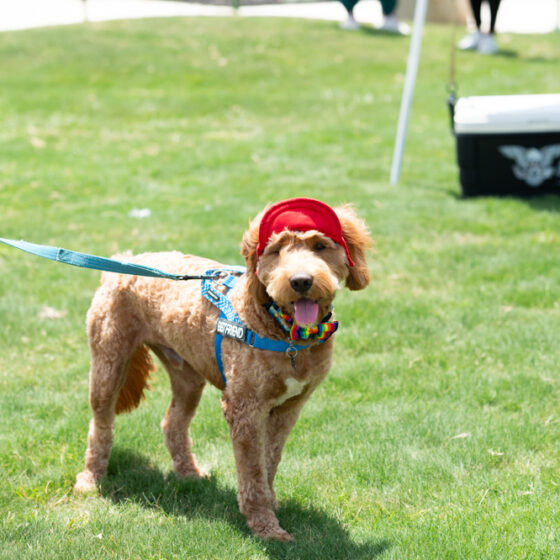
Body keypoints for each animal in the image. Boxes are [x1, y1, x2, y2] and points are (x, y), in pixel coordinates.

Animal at [74, 196, 372, 540]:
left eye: (320, 246)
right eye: (277, 250)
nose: (300, 281)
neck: (285, 333)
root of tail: (122, 263)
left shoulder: (288, 408)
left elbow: (270, 460)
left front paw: (271, 502)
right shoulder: (244, 408)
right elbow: (253, 472)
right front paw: (265, 526)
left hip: (187, 374)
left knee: (172, 423)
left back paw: (188, 473)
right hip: (108, 362)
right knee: (100, 423)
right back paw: (90, 478)